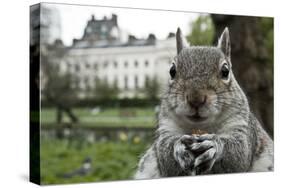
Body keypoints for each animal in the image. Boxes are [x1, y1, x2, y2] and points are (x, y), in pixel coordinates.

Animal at [135, 27, 272, 178]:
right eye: (172, 71)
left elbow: (240, 154)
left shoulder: (242, 126)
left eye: (225, 71)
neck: (202, 127)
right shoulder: (166, 128)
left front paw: (214, 145)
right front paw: (179, 146)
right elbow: (165, 158)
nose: (196, 99)